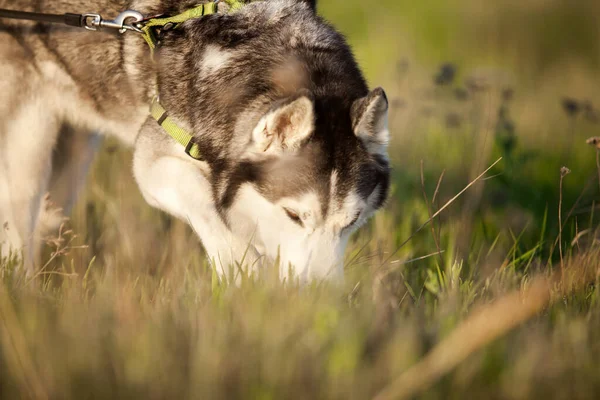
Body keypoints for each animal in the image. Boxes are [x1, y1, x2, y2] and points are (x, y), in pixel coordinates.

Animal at [0, 0, 392, 282]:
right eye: (294, 215)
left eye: (352, 221)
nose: (318, 296)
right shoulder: (153, 165)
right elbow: (210, 209)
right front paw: (243, 271)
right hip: (28, 148)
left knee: (46, 217)